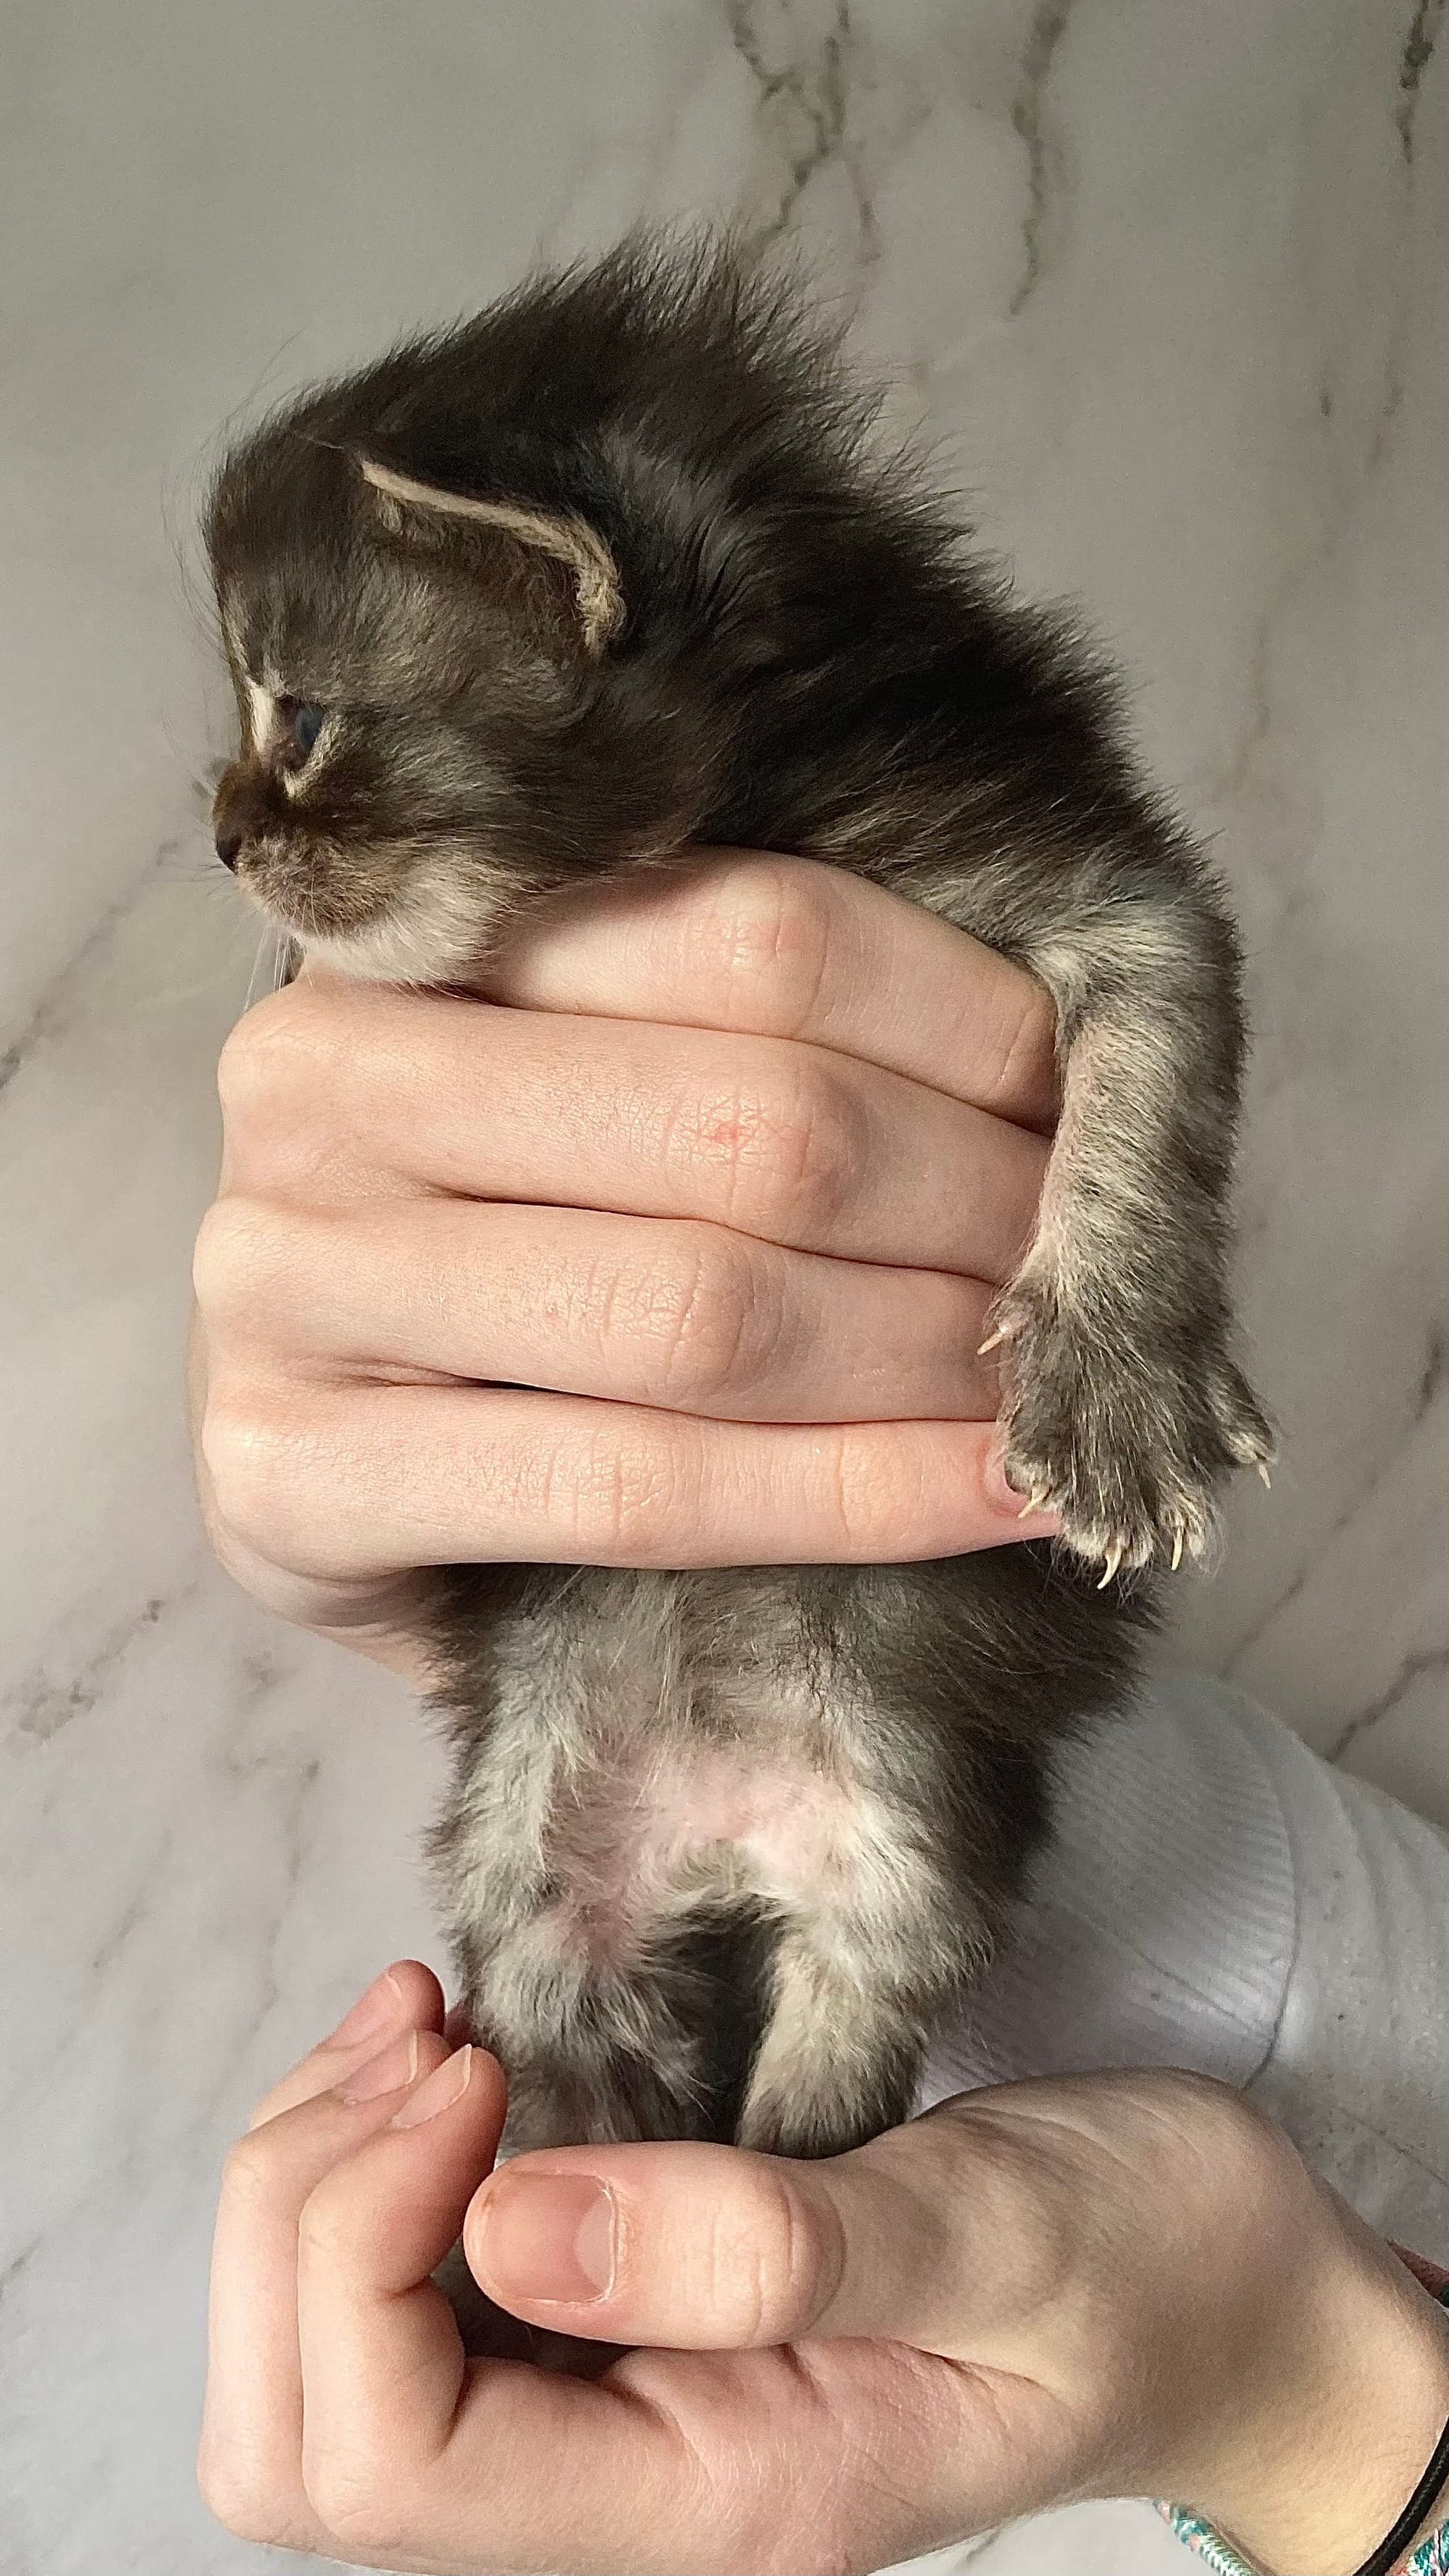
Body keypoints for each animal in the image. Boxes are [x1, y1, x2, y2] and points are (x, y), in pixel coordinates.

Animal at [205, 233, 1272, 2159]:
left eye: (300, 713)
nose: (223, 834)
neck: (738, 789)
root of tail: (726, 1821)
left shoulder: (1063, 857)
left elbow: (1154, 1056)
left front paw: (1119, 1387)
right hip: (538, 1862)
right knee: (583, 2038)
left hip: (906, 1850)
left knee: (830, 2051)